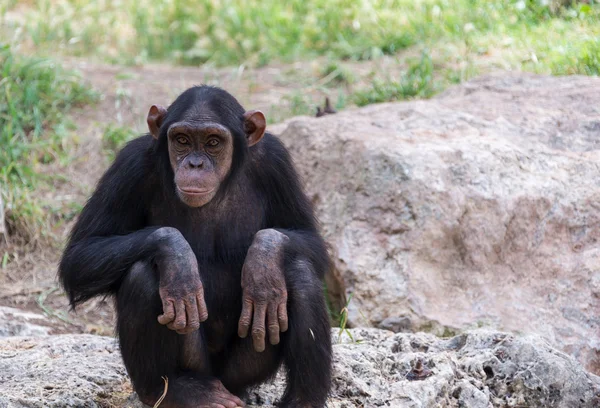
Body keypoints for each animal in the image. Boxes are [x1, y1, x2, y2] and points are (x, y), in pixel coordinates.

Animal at [59, 84, 332, 406]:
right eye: (182, 140)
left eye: (213, 142)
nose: (195, 163)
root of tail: (222, 383)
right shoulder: (130, 164)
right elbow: (81, 255)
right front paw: (177, 257)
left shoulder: (277, 162)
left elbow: (309, 239)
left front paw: (263, 264)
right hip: (198, 365)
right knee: (142, 275)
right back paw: (173, 390)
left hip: (243, 370)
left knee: (300, 273)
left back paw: (303, 399)